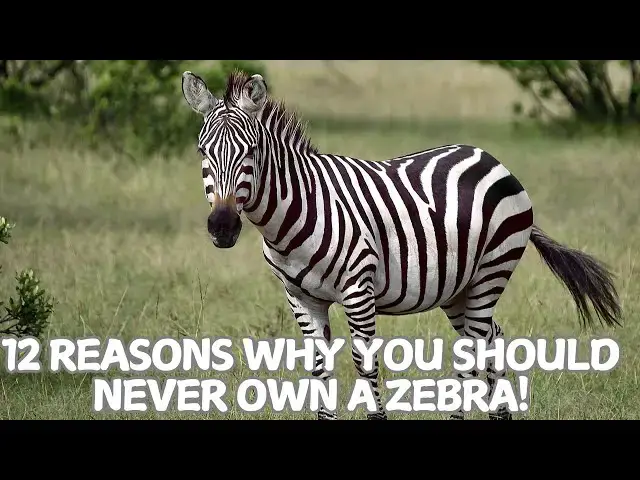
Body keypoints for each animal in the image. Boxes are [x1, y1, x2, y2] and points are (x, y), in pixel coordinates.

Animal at [181, 69, 622, 420]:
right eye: (202, 151)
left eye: (252, 151)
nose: (223, 227)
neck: (296, 212)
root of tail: (490, 158)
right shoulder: (300, 297)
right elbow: (320, 370)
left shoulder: (358, 291)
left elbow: (365, 366)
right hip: (458, 288)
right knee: (491, 337)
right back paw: (500, 415)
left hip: (492, 270)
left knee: (475, 347)